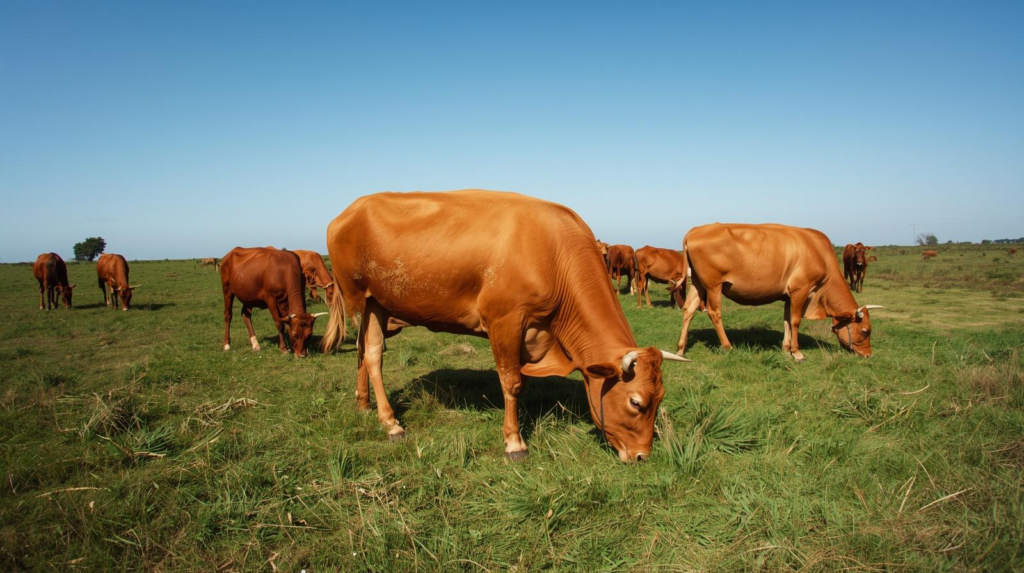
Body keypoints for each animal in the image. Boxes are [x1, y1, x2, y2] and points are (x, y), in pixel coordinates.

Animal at [320, 190, 689, 463]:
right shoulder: (505, 320)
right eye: (636, 402)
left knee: (362, 352)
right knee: (371, 355)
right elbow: (512, 383)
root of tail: (349, 210)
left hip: (379, 306)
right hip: (360, 298)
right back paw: (390, 422)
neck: (555, 255)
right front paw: (515, 443)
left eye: (660, 398)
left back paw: (364, 404)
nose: (642, 456)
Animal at [676, 223, 883, 362]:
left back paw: (680, 349)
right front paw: (797, 352)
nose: (868, 354)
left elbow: (786, 320)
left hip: (697, 282)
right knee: (714, 313)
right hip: (713, 285)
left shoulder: (788, 296)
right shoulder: (801, 290)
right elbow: (796, 320)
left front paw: (785, 349)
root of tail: (696, 230)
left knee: (688, 309)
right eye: (865, 330)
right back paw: (727, 346)